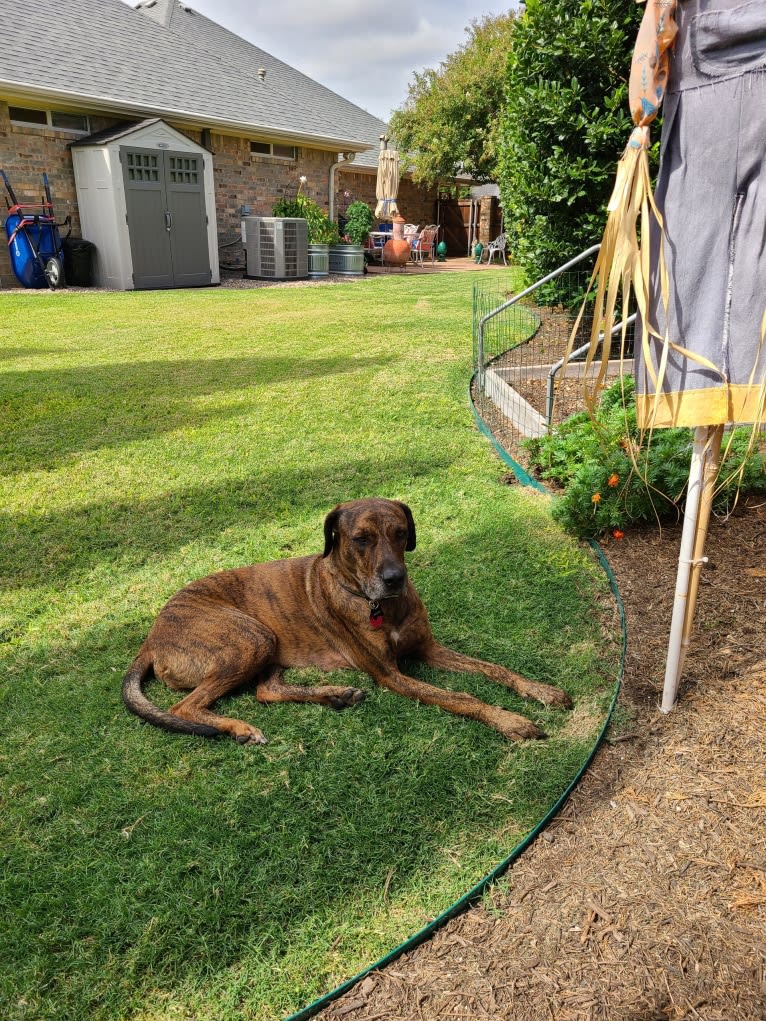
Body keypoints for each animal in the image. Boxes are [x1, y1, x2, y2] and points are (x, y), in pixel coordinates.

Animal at [123, 498, 571, 747]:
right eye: (361, 539)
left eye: (400, 532)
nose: (394, 579)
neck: (376, 604)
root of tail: (151, 639)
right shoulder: (391, 675)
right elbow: (462, 697)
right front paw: (511, 721)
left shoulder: (428, 648)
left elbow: (495, 668)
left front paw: (541, 690)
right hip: (250, 638)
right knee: (186, 705)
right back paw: (238, 728)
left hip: (268, 648)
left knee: (266, 691)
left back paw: (335, 695)